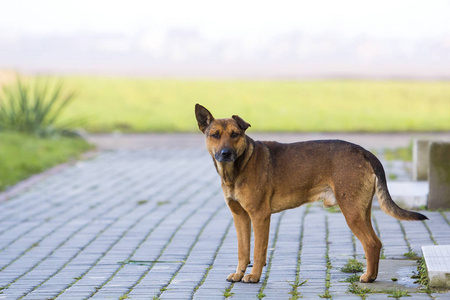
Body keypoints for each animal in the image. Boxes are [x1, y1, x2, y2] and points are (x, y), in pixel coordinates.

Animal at [195, 103, 428, 284]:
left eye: (235, 135)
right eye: (215, 135)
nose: (225, 153)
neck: (237, 168)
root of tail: (365, 152)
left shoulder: (260, 216)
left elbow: (258, 250)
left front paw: (254, 276)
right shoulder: (240, 217)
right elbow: (243, 251)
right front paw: (239, 274)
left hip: (351, 212)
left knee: (370, 244)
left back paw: (367, 277)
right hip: (362, 210)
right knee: (376, 243)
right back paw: (372, 276)